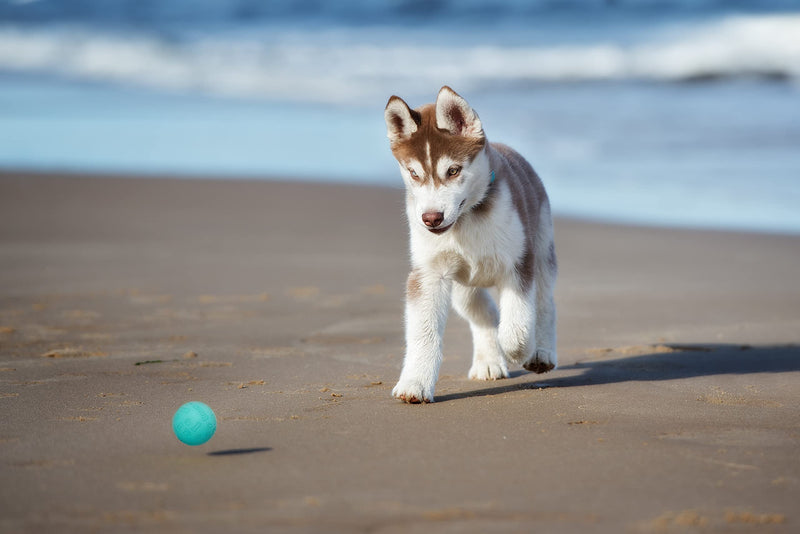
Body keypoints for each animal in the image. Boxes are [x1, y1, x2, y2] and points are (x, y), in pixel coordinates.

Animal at [386, 86, 560, 404]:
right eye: (414, 173)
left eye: (453, 171)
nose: (431, 218)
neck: (467, 219)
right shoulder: (427, 274)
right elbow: (423, 333)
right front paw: (415, 383)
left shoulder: (519, 263)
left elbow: (516, 326)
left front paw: (520, 350)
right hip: (463, 287)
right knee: (484, 312)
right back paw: (489, 361)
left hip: (542, 251)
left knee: (544, 302)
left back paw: (541, 352)